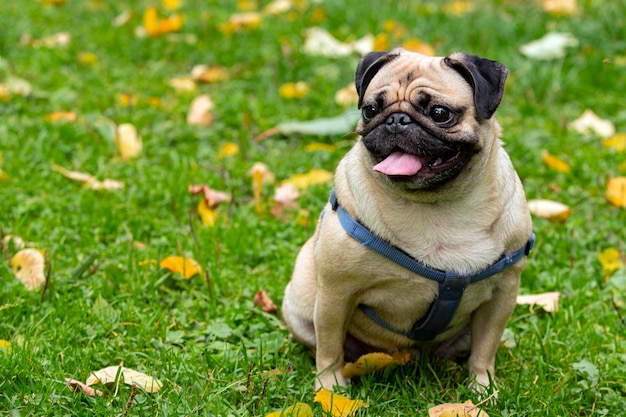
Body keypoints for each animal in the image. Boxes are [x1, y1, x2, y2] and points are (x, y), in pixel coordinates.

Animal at [282, 47, 532, 392]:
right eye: (371, 109)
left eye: (440, 113)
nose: (396, 120)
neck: (438, 207)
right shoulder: (336, 293)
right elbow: (330, 349)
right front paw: (330, 390)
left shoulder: (502, 294)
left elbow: (485, 349)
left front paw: (482, 389)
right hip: (302, 308)